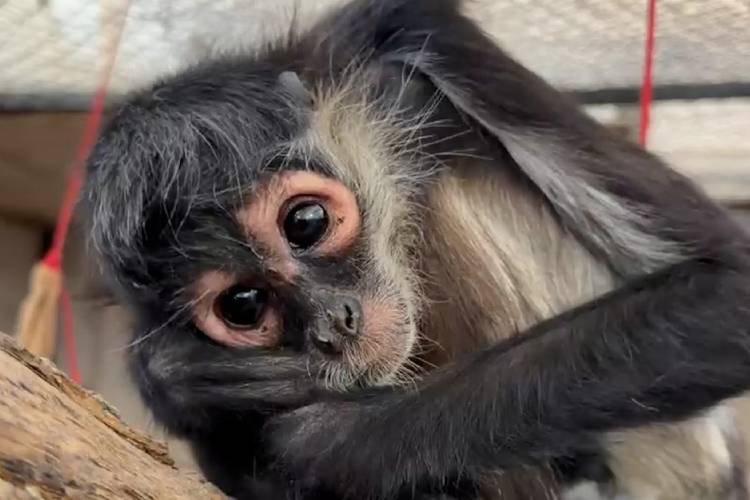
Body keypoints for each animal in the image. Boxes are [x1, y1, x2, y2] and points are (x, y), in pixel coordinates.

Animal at [81, 0, 750, 499]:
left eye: (306, 222)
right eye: (244, 305)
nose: (334, 324)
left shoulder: (414, 28)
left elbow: (727, 289)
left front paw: (329, 445)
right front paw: (174, 379)